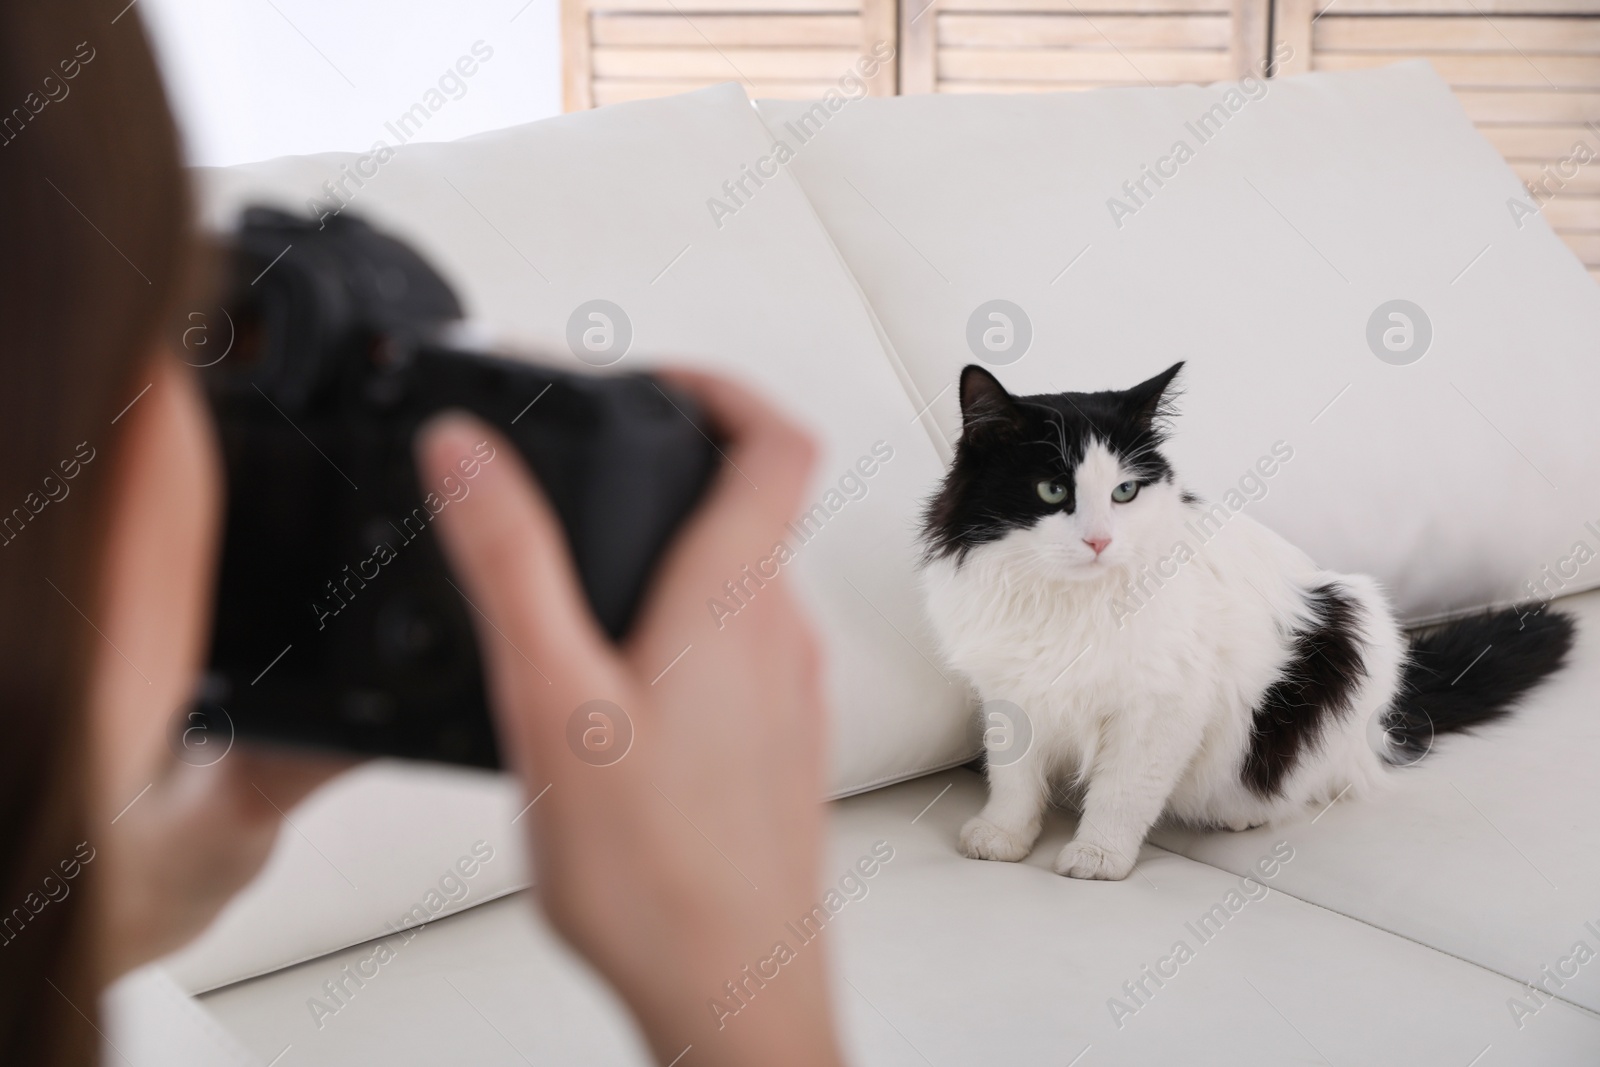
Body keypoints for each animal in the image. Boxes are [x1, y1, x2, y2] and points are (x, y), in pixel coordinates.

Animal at [921, 363, 1568, 883]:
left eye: (1125, 492)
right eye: (1053, 491)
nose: (1100, 540)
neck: (1068, 602)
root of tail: (1381, 731)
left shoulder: (1163, 708)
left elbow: (1122, 792)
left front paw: (1098, 857)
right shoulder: (1010, 694)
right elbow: (1013, 781)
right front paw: (1003, 837)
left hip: (1355, 624)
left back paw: (1240, 814)